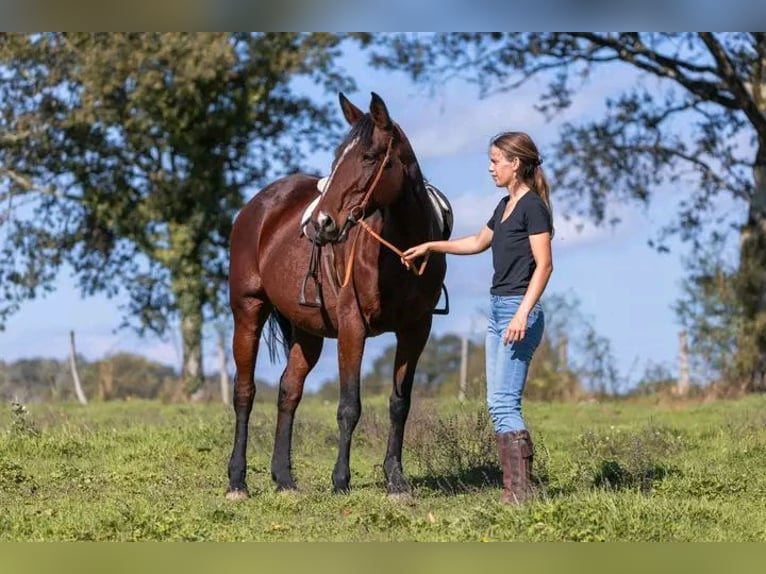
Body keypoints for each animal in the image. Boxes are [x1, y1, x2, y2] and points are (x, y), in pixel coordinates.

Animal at [225, 92, 450, 502]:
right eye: (337, 157)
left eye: (369, 156)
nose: (322, 224)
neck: (400, 250)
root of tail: (257, 206)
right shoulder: (352, 326)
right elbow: (349, 405)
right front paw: (341, 480)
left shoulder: (416, 330)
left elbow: (400, 403)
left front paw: (396, 481)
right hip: (248, 311)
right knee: (244, 392)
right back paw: (237, 481)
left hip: (307, 331)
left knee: (289, 391)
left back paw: (284, 478)